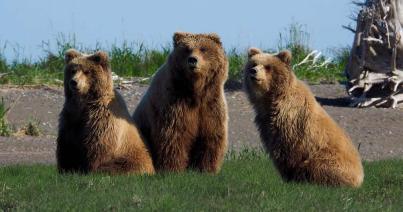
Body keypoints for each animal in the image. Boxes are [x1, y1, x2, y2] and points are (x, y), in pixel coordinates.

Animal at [134, 32, 229, 173]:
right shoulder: (174, 103)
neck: (195, 91)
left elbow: (211, 135)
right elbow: (174, 135)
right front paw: (174, 168)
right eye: (187, 49)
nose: (193, 60)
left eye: (203, 49)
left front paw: (206, 168)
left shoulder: (210, 104)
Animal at [245, 47, 364, 187]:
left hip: (328, 158)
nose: (254, 71)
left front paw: (290, 177)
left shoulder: (291, 121)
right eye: (254, 64)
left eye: (268, 66)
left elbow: (289, 149)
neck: (271, 100)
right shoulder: (265, 122)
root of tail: (360, 177)